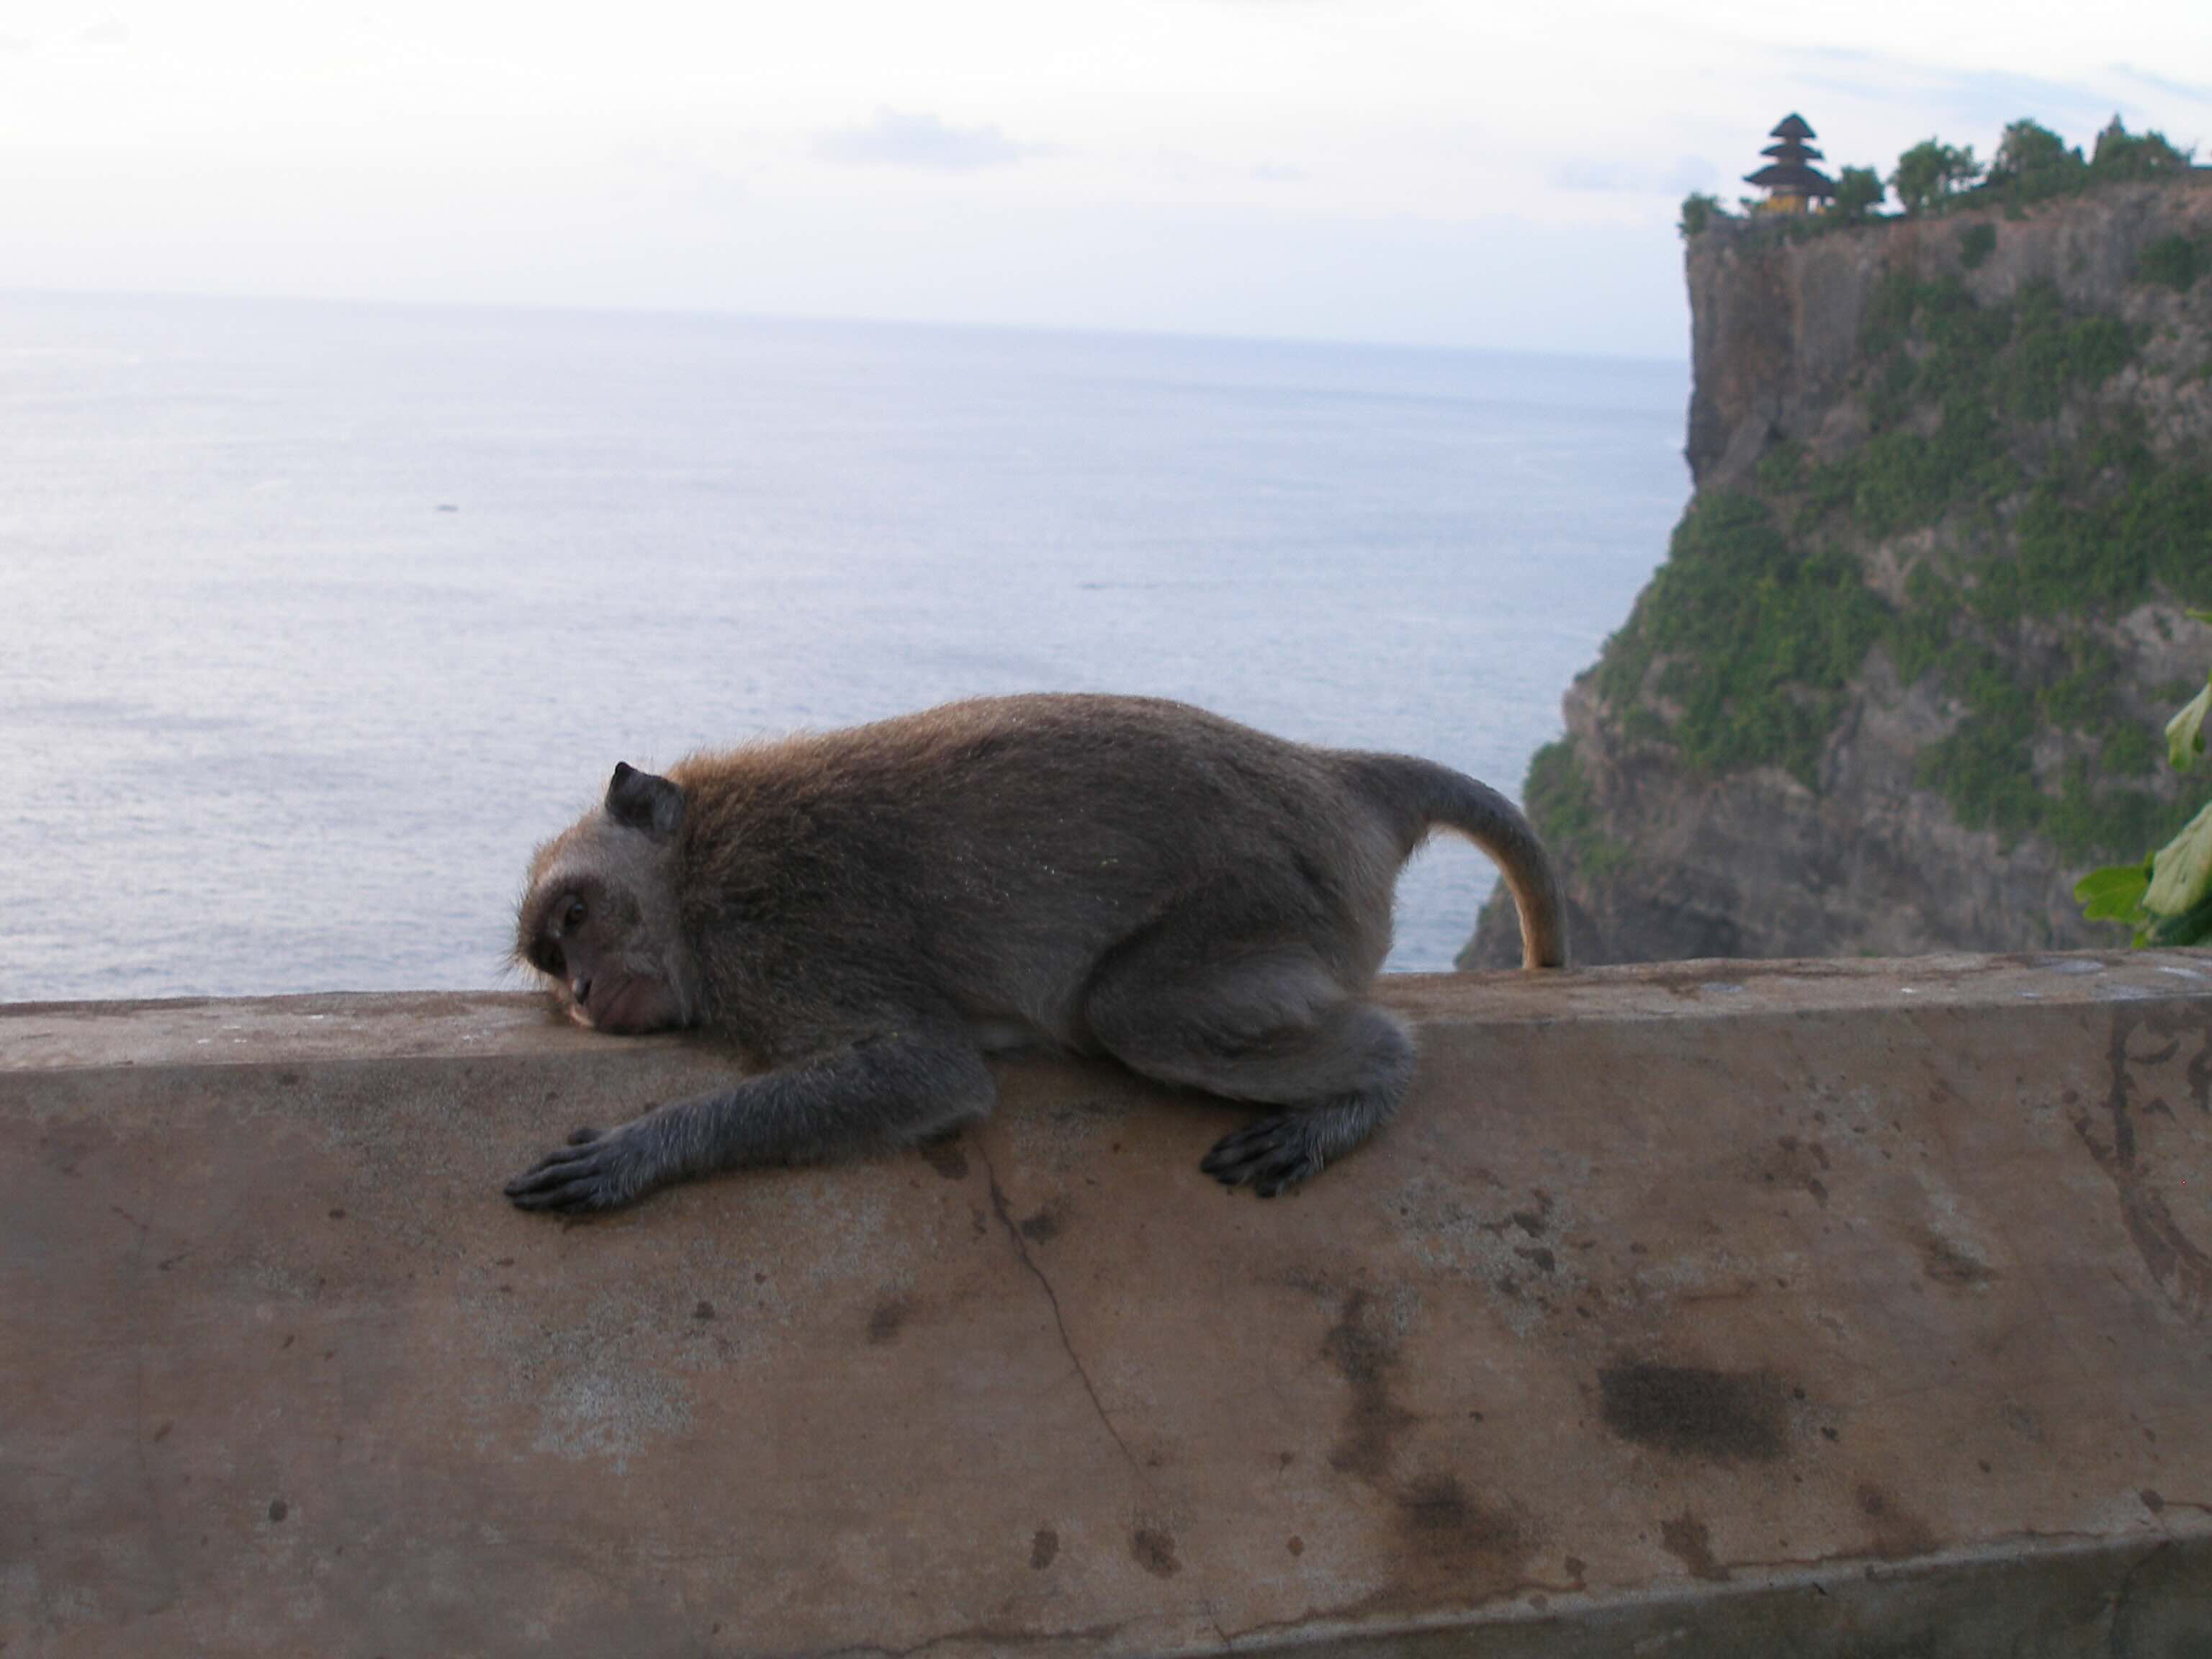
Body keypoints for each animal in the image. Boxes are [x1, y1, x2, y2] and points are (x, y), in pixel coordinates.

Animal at [504, 694, 1565, 1215]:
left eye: (576, 914)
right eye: (552, 965)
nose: (585, 995)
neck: (691, 871)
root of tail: (1338, 778)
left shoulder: (771, 938)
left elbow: (927, 1070)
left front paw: (641, 1151)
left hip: (1279, 897)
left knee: (1138, 1014)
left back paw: (1367, 1084)